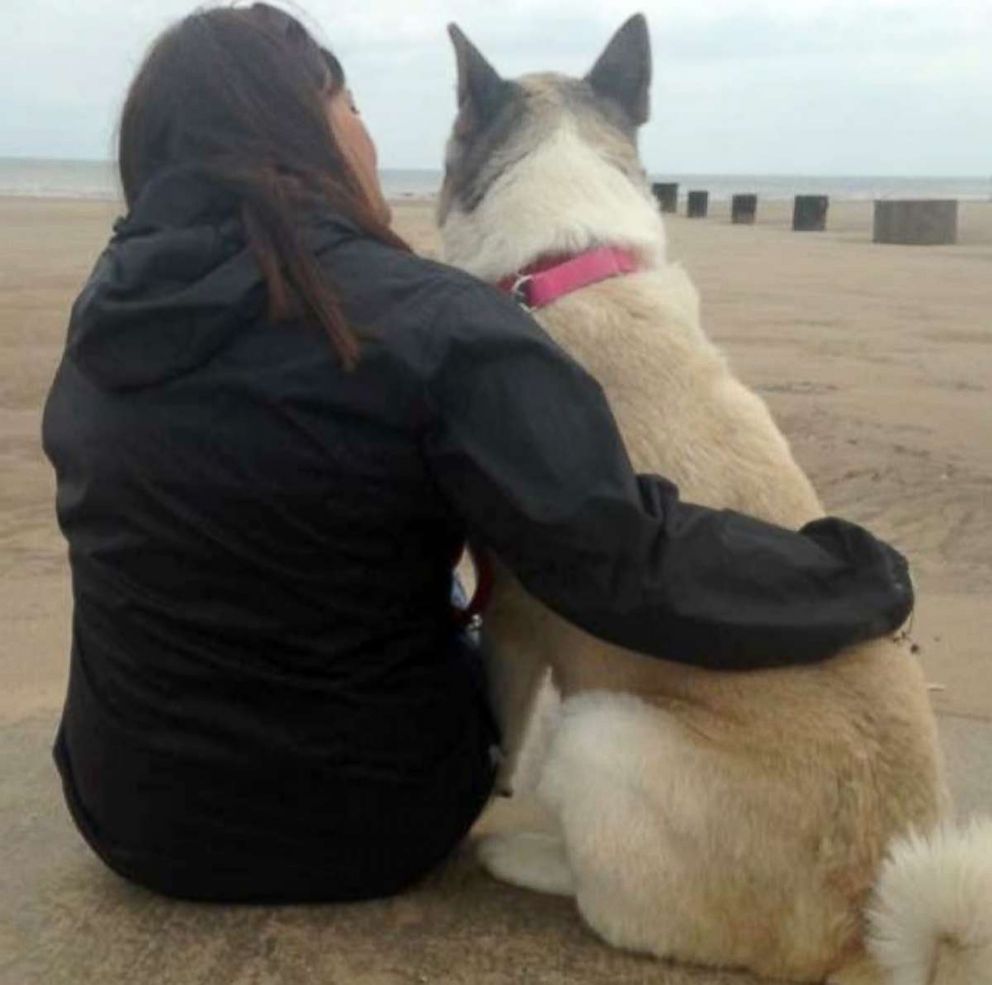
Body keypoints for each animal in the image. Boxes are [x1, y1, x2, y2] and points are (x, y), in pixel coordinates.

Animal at [438, 17, 992, 984]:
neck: (568, 264)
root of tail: (857, 933)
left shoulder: (511, 614)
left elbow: (504, 719)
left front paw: (497, 793)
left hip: (600, 732)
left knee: (609, 900)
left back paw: (526, 855)